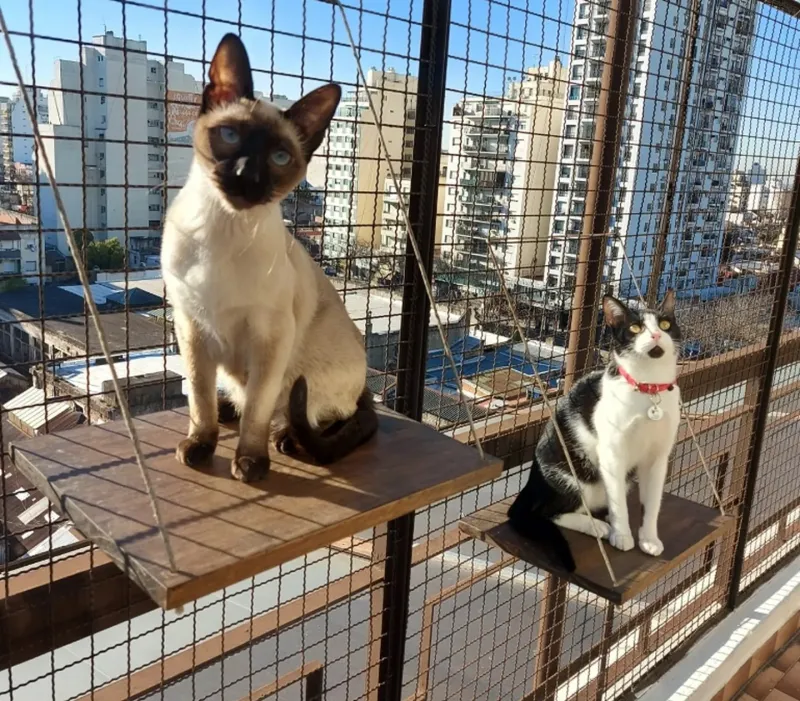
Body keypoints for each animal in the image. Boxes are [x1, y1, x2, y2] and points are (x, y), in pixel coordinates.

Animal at [162, 34, 378, 482]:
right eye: (228, 135)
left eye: (279, 158)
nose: (245, 175)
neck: (223, 230)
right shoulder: (190, 326)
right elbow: (199, 400)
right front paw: (200, 445)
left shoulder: (269, 338)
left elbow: (257, 414)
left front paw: (249, 463)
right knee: (227, 397)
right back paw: (228, 411)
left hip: (306, 372)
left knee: (323, 413)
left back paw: (288, 438)